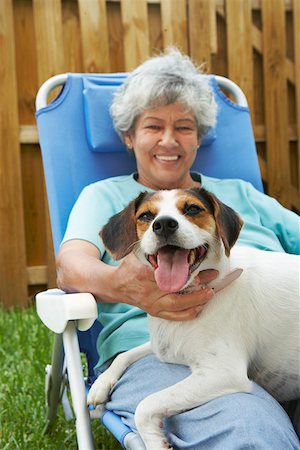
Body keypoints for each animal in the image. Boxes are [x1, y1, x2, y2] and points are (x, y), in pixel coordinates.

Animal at [87, 186, 300, 450]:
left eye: (192, 209)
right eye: (146, 216)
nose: (163, 225)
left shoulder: (222, 372)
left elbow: (145, 405)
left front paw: (155, 441)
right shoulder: (162, 347)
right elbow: (124, 356)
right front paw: (100, 384)